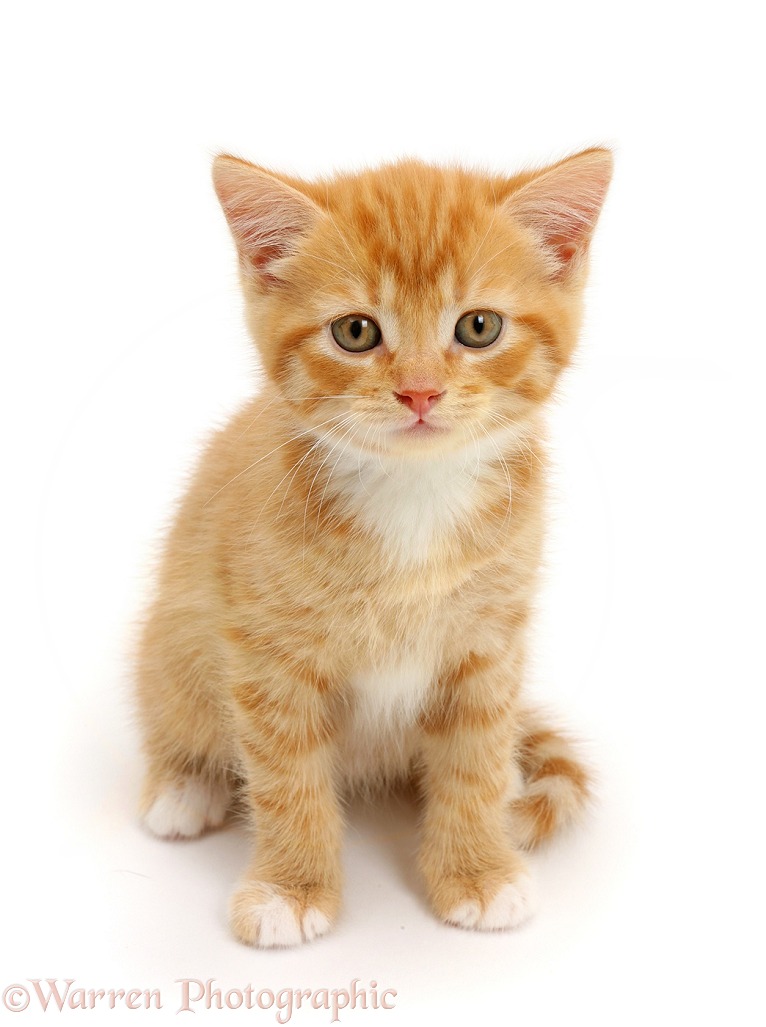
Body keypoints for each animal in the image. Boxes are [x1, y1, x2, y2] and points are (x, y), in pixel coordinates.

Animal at [135, 146, 607, 944]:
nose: (419, 392)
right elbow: (285, 774)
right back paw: (183, 784)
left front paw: (477, 869)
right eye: (355, 332)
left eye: (479, 327)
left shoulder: (489, 642)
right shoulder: (268, 654)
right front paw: (290, 888)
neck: (412, 495)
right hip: (172, 639)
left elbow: (475, 758)